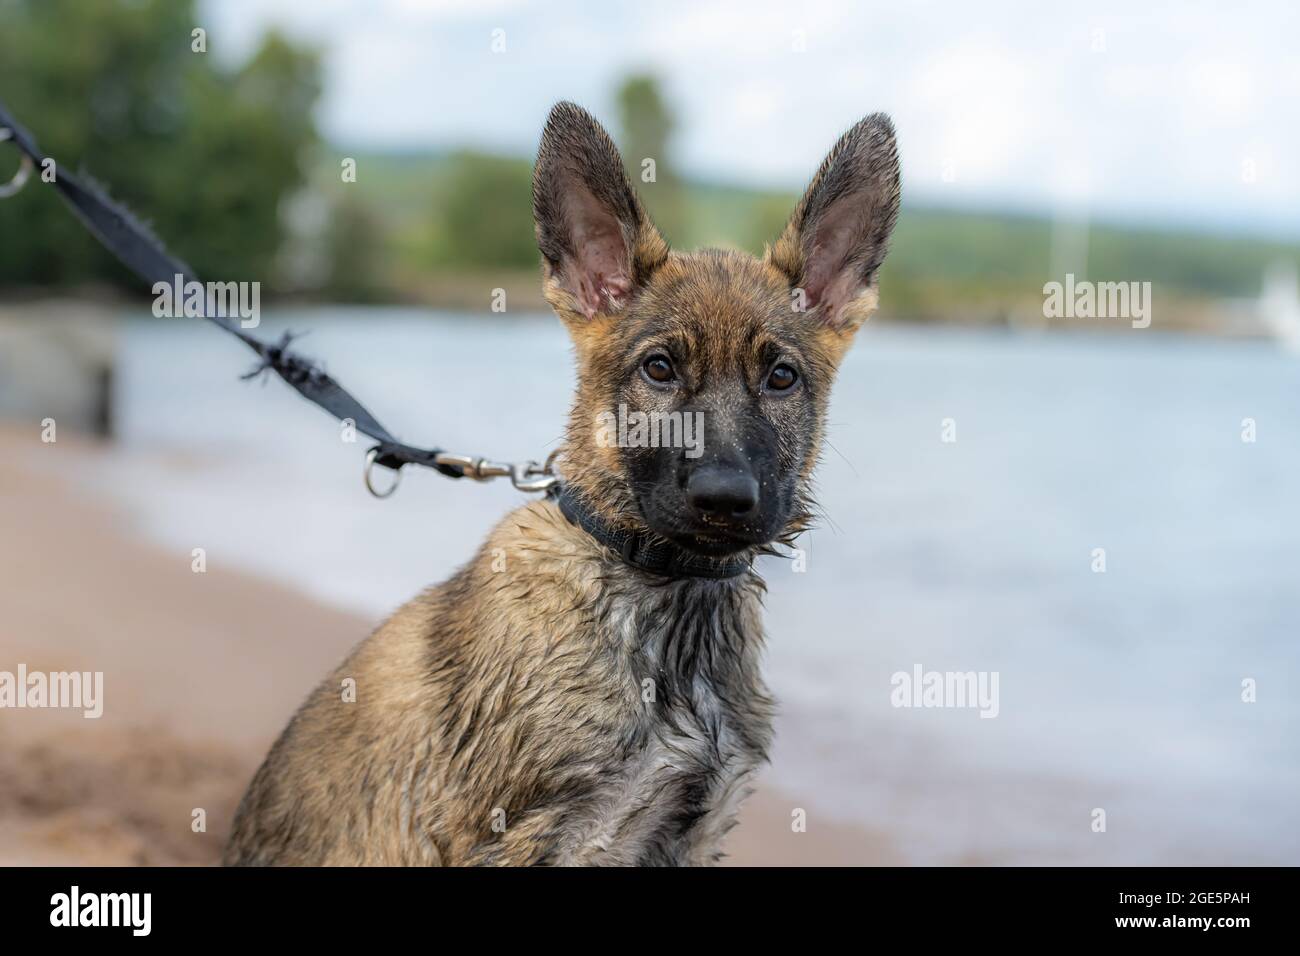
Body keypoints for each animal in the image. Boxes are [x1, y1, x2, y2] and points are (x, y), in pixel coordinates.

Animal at [223, 102, 899, 868]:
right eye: (659, 369)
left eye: (781, 377)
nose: (725, 499)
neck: (666, 593)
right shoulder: (530, 835)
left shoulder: (689, 835)